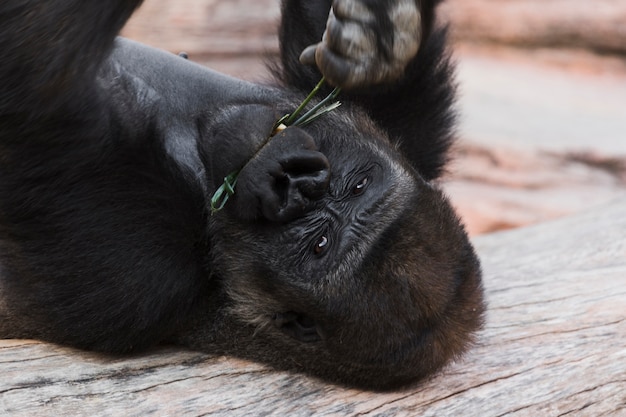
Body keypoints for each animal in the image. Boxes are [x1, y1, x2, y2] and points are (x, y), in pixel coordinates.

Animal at [0, 0, 482, 390]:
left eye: (319, 245)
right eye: (358, 185)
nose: (295, 185)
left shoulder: (140, 264)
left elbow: (36, 88)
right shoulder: (407, 142)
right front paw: (383, 35)